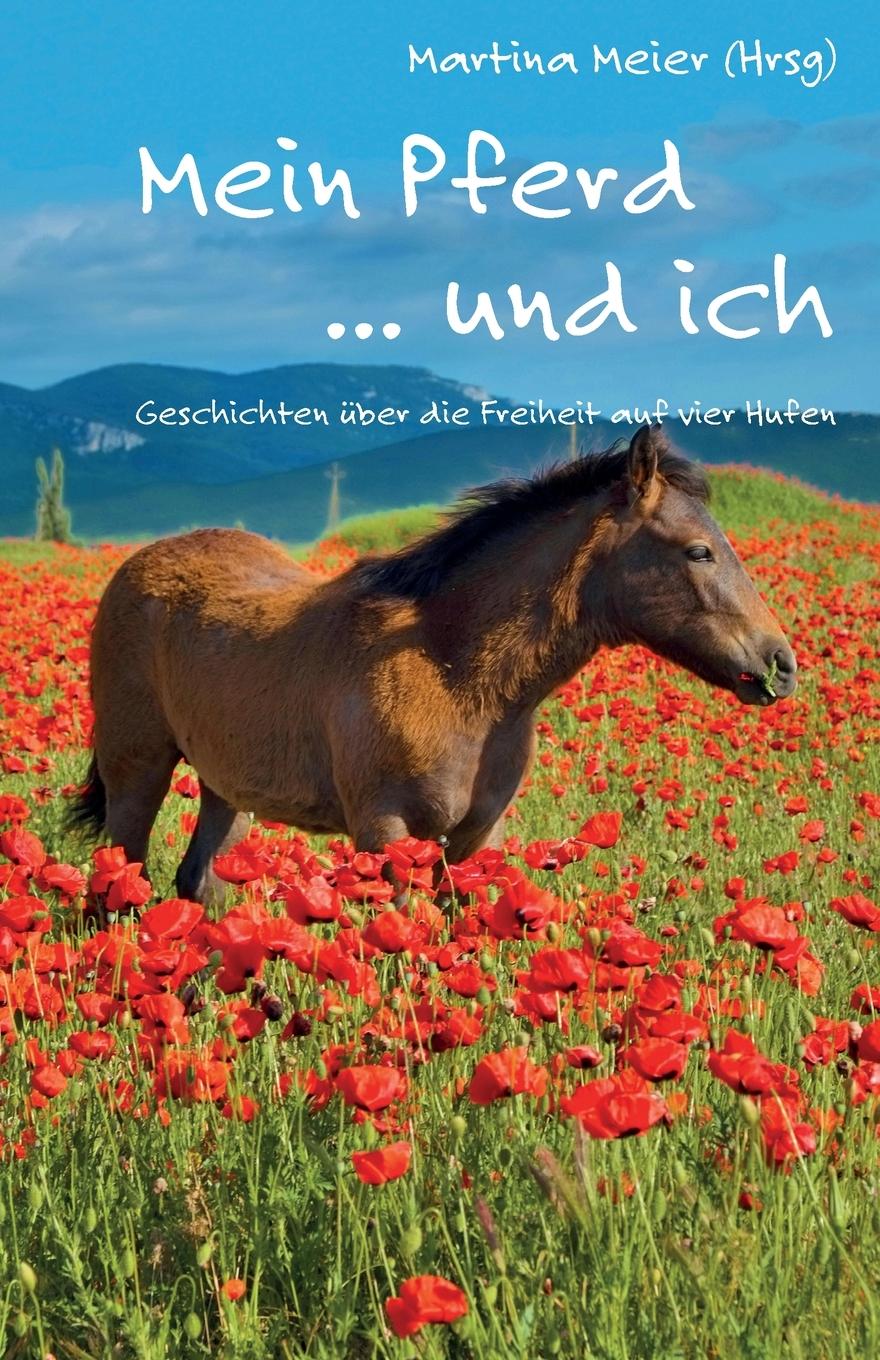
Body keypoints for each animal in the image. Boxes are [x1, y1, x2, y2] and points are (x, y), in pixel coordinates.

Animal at [69, 426, 796, 905]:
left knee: (199, 886)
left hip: (227, 788)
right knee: (116, 887)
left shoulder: (473, 842)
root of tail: (136, 566)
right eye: (699, 550)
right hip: (137, 772)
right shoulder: (385, 833)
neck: (456, 677)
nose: (781, 664)